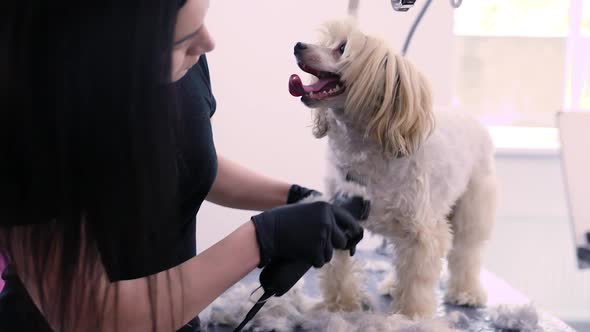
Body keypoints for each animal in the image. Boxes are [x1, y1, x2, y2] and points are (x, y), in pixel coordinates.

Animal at [290, 19, 498, 320]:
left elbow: (416, 279)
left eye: (342, 49)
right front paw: (340, 306)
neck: (364, 151)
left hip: (472, 206)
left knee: (466, 252)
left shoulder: (422, 234)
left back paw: (466, 292)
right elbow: (338, 271)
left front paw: (411, 316)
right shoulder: (339, 220)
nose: (298, 46)